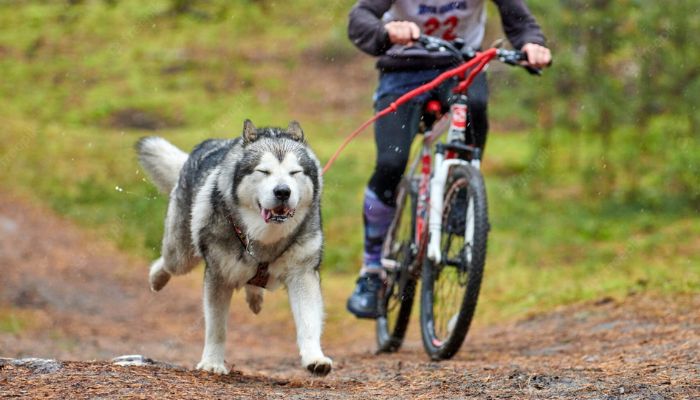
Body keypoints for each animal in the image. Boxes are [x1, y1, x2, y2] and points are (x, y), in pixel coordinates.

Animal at [139, 119, 334, 376]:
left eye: (295, 172)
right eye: (263, 171)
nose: (283, 191)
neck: (265, 238)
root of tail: (207, 145)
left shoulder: (302, 274)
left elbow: (308, 322)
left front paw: (315, 358)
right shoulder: (219, 276)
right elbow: (217, 328)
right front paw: (212, 362)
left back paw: (255, 296)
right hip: (181, 254)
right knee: (169, 262)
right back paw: (156, 278)